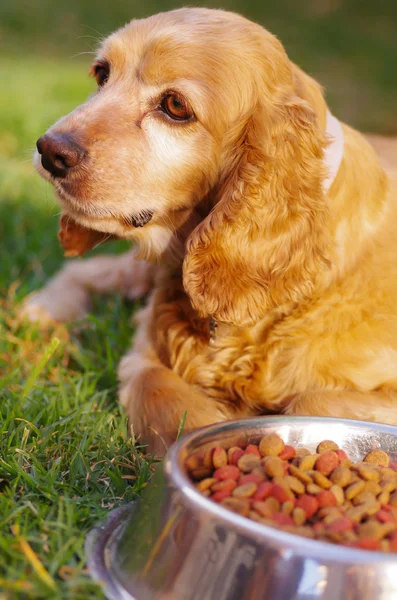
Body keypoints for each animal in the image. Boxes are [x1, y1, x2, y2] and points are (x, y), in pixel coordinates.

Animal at [24, 9, 396, 452]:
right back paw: (40, 314)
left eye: (175, 105)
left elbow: (313, 399)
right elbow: (166, 399)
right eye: (102, 73)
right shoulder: (144, 352)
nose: (50, 150)